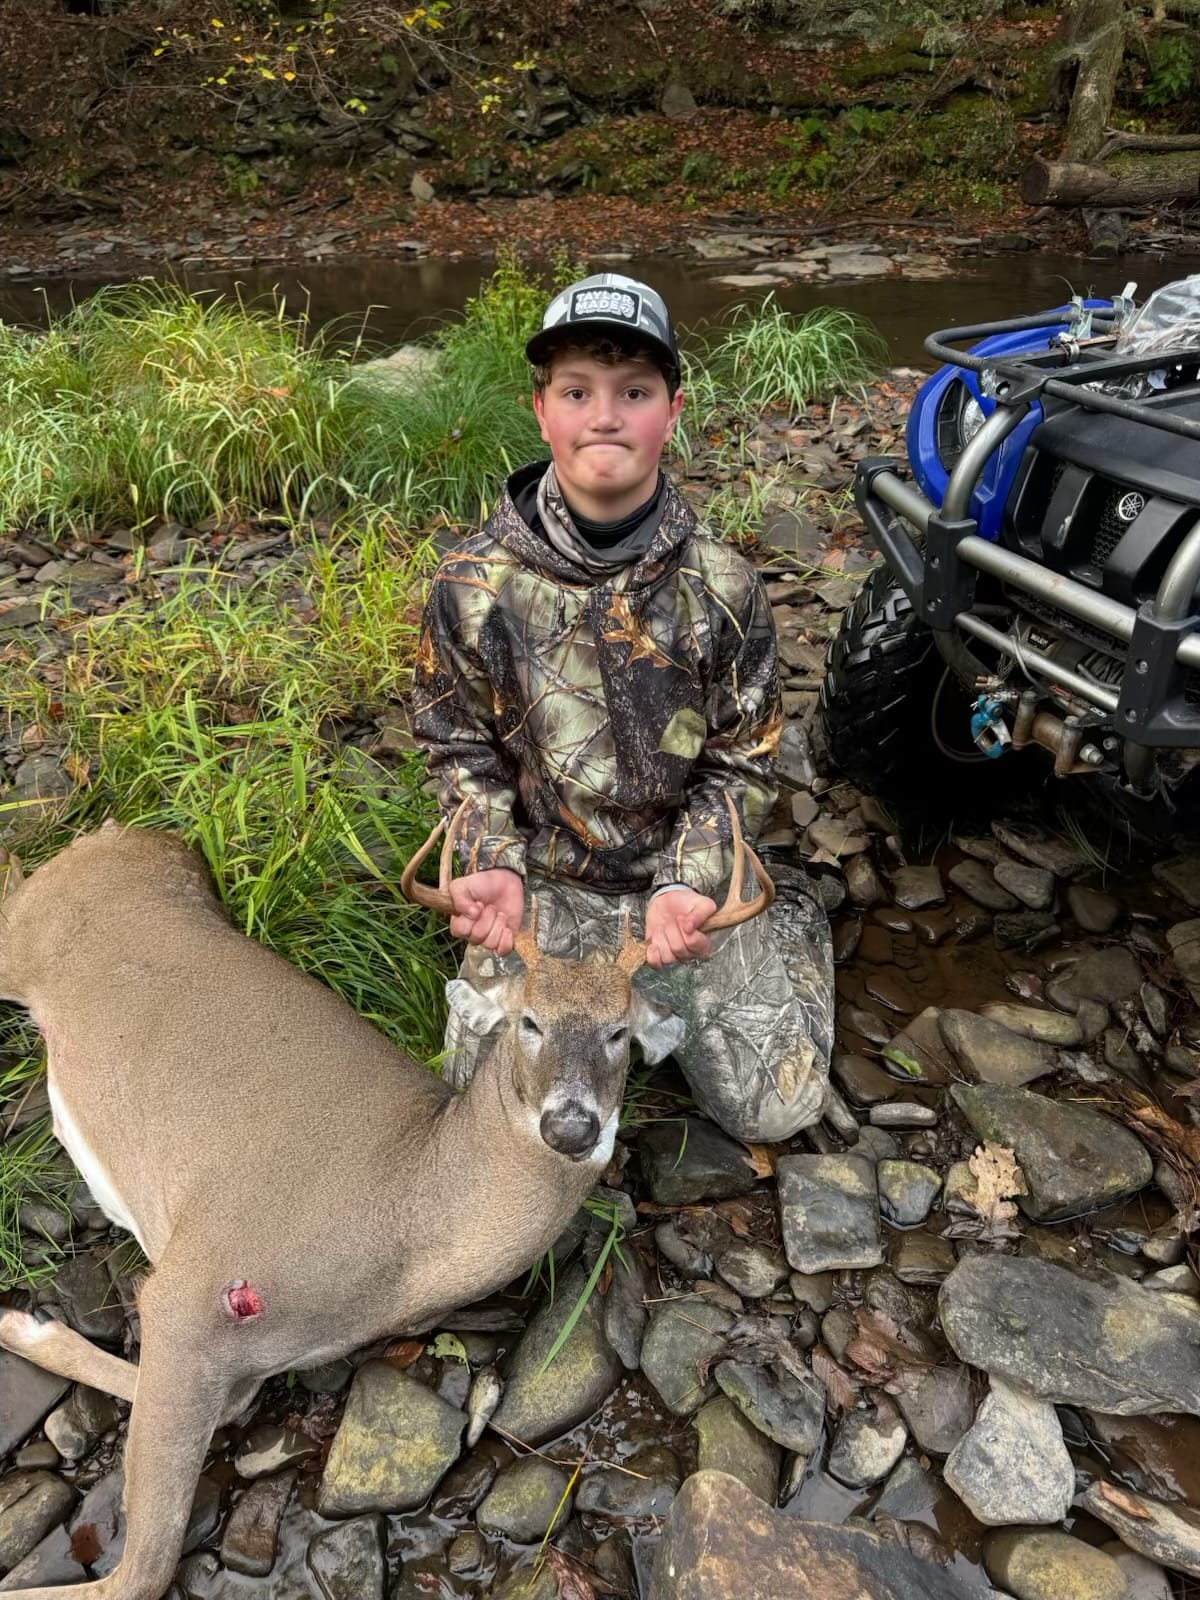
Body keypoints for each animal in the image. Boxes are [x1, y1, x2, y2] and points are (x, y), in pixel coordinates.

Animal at [0, 796, 772, 1600]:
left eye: (620, 1033)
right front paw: (20, 1326)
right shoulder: (196, 1282)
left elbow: (229, 1410)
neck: (404, 1220)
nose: (571, 1126)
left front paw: (24, 1324)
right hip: (19, 937)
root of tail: (120, 832)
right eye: (529, 1021)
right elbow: (142, 1571)